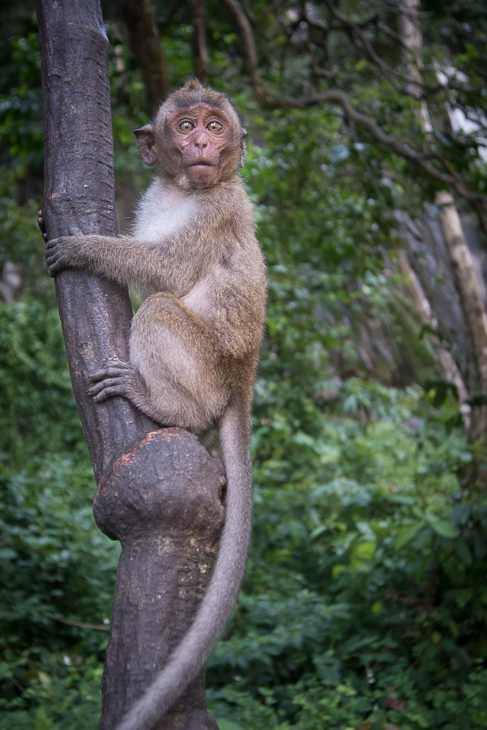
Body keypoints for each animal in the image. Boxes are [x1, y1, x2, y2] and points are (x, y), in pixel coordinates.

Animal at [42, 79, 266, 728]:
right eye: (186, 125)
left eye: (216, 126)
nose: (201, 145)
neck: (186, 188)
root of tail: (243, 376)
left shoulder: (217, 211)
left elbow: (165, 269)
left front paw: (85, 246)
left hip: (205, 368)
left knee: (161, 308)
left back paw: (165, 408)